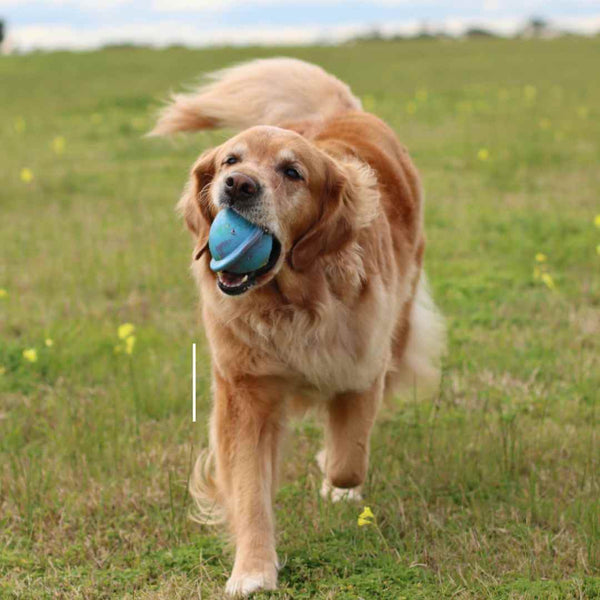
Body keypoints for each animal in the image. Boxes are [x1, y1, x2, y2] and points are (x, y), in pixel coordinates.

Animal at [152, 57, 442, 596]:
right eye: (230, 160)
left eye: (292, 172)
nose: (238, 185)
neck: (291, 302)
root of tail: (341, 110)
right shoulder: (245, 392)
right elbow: (249, 490)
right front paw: (252, 570)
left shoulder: (362, 370)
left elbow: (349, 458)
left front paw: (332, 473)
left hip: (401, 316)